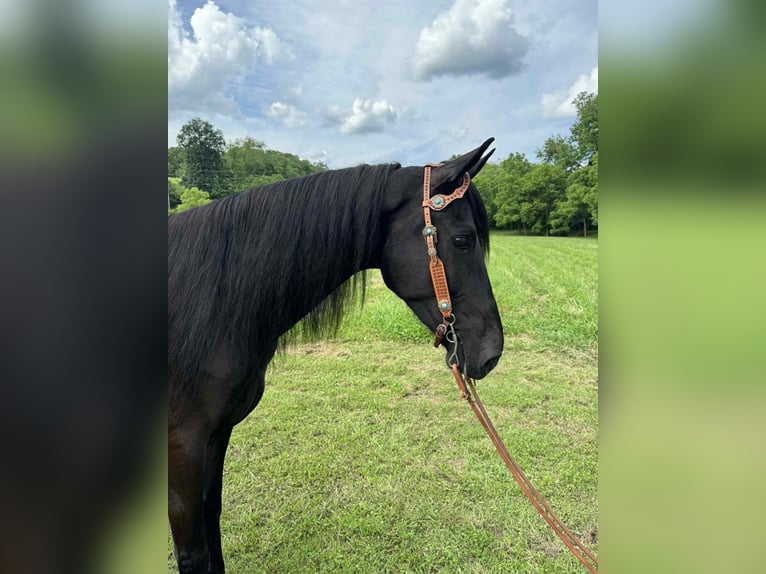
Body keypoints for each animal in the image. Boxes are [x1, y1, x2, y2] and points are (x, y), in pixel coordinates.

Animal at [168, 138, 504, 573]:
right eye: (463, 240)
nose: (492, 353)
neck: (207, 305)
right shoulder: (182, 445)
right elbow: (193, 553)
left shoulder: (217, 433)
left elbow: (213, 516)